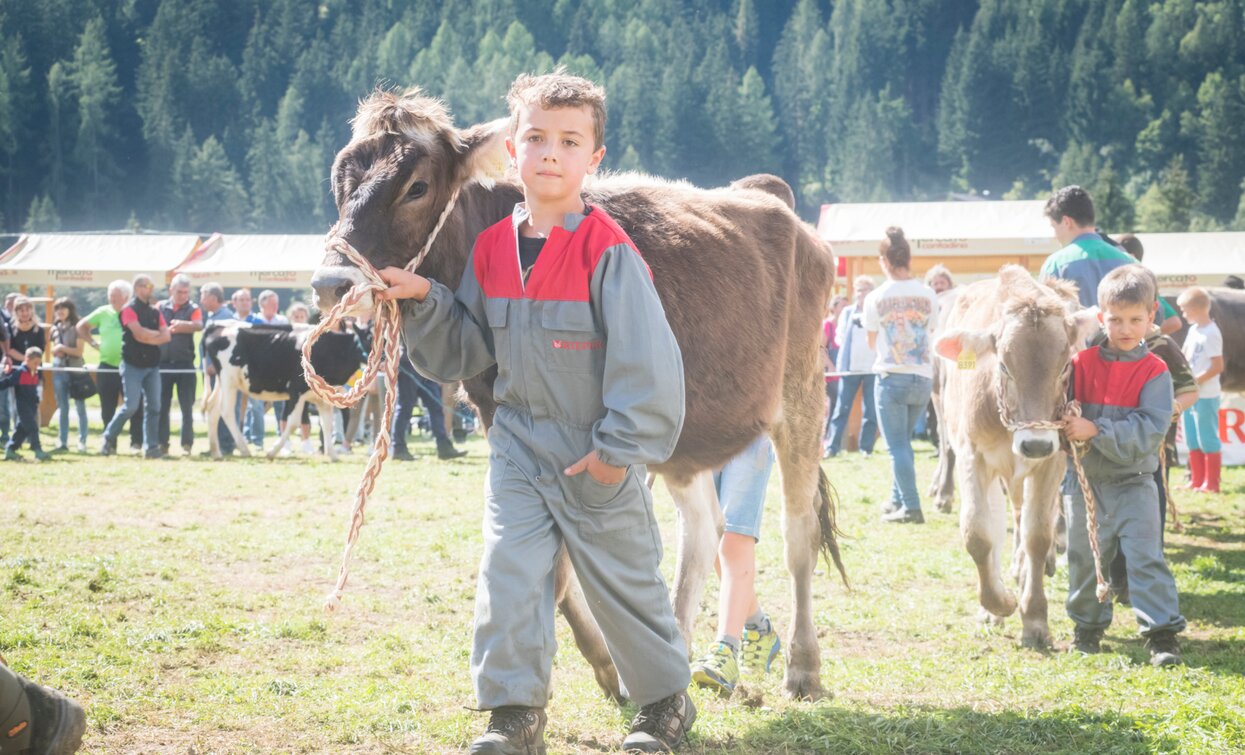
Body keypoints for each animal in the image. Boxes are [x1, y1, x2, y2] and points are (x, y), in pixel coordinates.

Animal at [201, 321, 363, 458]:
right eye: (367, 336)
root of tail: (217, 325)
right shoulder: (296, 391)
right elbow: (292, 423)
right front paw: (273, 452)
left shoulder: (321, 398)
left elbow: (327, 423)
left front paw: (332, 455)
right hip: (228, 380)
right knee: (226, 411)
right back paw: (244, 449)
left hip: (222, 383)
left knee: (213, 408)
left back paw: (216, 452)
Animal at [308, 90, 846, 702]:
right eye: (340, 182)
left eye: (416, 187)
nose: (330, 283)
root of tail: (774, 202)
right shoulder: (500, 419)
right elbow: (556, 570)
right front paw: (613, 665)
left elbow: (571, 569)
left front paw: (612, 665)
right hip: (687, 435)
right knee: (705, 529)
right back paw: (679, 647)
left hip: (800, 396)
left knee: (797, 532)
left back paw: (802, 667)